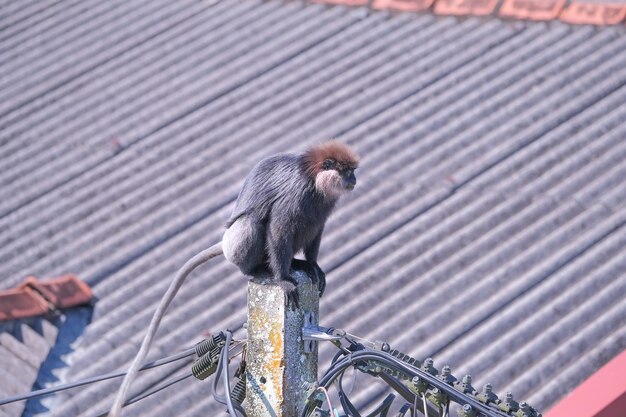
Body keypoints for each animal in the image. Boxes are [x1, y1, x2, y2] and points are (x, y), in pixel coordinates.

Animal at [107, 141, 356, 416]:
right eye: (347, 172)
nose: (354, 179)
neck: (314, 180)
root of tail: (225, 243)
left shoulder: (323, 204)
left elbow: (316, 229)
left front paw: (313, 267)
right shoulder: (297, 195)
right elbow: (278, 229)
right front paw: (282, 279)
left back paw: (298, 264)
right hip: (238, 242)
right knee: (252, 224)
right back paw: (260, 270)